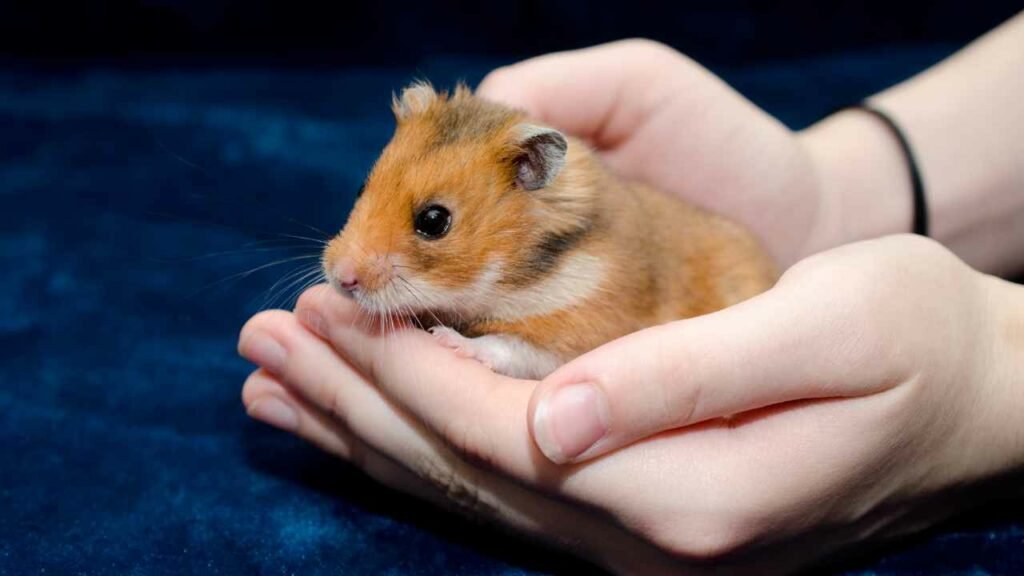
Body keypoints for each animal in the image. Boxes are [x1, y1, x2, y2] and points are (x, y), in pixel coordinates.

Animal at [322, 82, 777, 379]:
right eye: (361, 189)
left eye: (433, 221)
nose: (341, 279)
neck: (518, 274)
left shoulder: (578, 334)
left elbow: (509, 347)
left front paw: (448, 340)